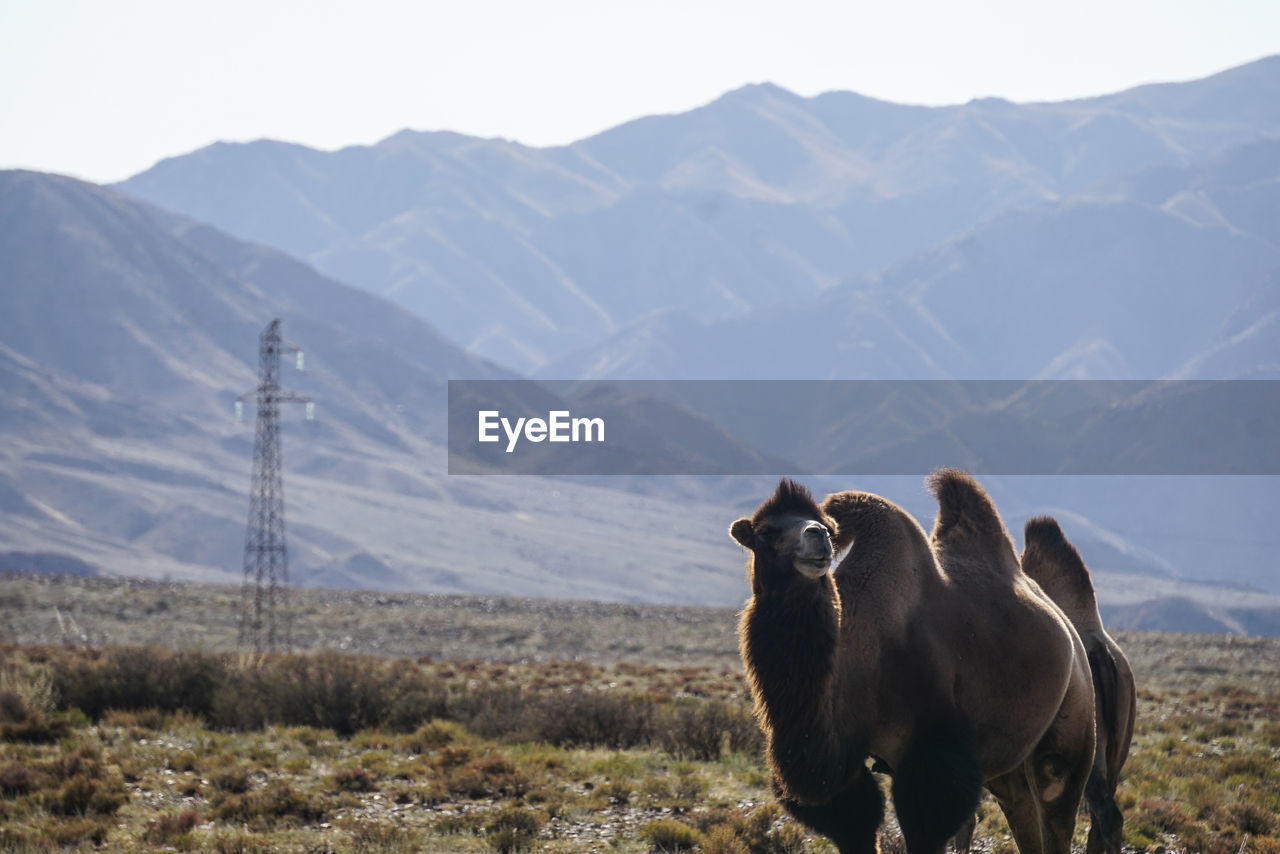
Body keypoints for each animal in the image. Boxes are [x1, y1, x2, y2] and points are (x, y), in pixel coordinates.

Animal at [737, 473, 1095, 854]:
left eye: (829, 529)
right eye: (765, 532)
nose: (817, 534)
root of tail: (1071, 634)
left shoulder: (933, 750)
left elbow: (927, 819)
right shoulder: (844, 772)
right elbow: (855, 820)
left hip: (1072, 719)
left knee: (1056, 795)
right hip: (1009, 760)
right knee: (1021, 809)